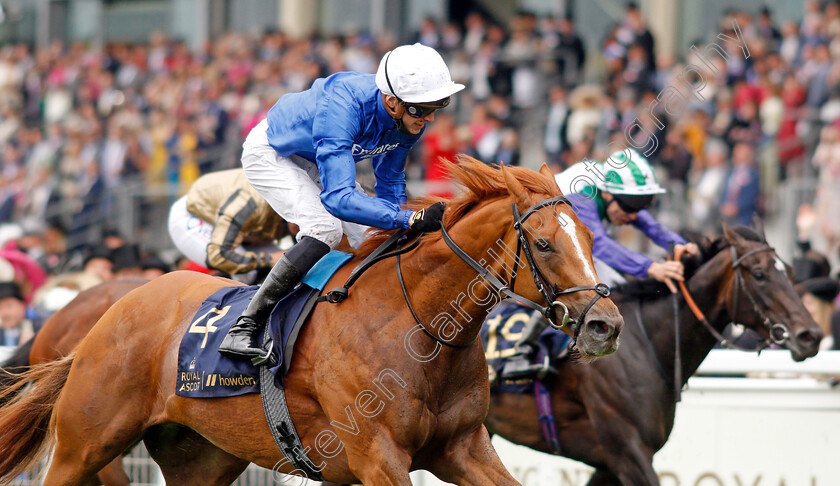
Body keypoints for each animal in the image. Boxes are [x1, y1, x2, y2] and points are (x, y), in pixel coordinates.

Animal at [0, 158, 624, 484]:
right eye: (543, 243)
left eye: (592, 238)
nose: (606, 325)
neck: (420, 330)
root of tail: (98, 322)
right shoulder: (378, 456)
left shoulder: (464, 448)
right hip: (85, 446)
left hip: (199, 457)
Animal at [486, 224, 820, 486]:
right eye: (760, 274)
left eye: (790, 272)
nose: (811, 335)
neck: (646, 346)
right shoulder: (628, 453)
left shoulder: (610, 463)